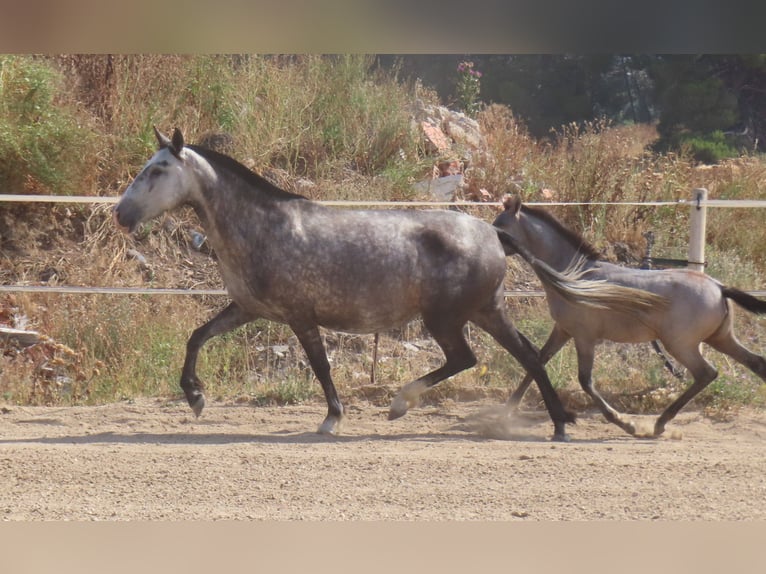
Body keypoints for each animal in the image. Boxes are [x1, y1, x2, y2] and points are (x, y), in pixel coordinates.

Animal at [114, 127, 664, 440]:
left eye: (157, 170)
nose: (121, 214)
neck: (263, 228)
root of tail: (493, 232)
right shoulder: (248, 308)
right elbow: (197, 338)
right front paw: (195, 397)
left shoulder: (299, 317)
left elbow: (321, 367)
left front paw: (332, 419)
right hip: (486, 310)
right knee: (528, 354)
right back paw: (558, 424)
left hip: (446, 318)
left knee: (466, 359)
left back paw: (402, 404)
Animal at [496, 196, 764, 438]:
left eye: (500, 226)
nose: (493, 243)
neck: (575, 275)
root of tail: (719, 287)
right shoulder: (563, 330)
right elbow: (537, 361)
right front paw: (506, 412)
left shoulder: (585, 336)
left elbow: (585, 381)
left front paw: (627, 424)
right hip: (720, 338)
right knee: (755, 363)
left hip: (680, 345)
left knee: (706, 373)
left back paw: (659, 424)